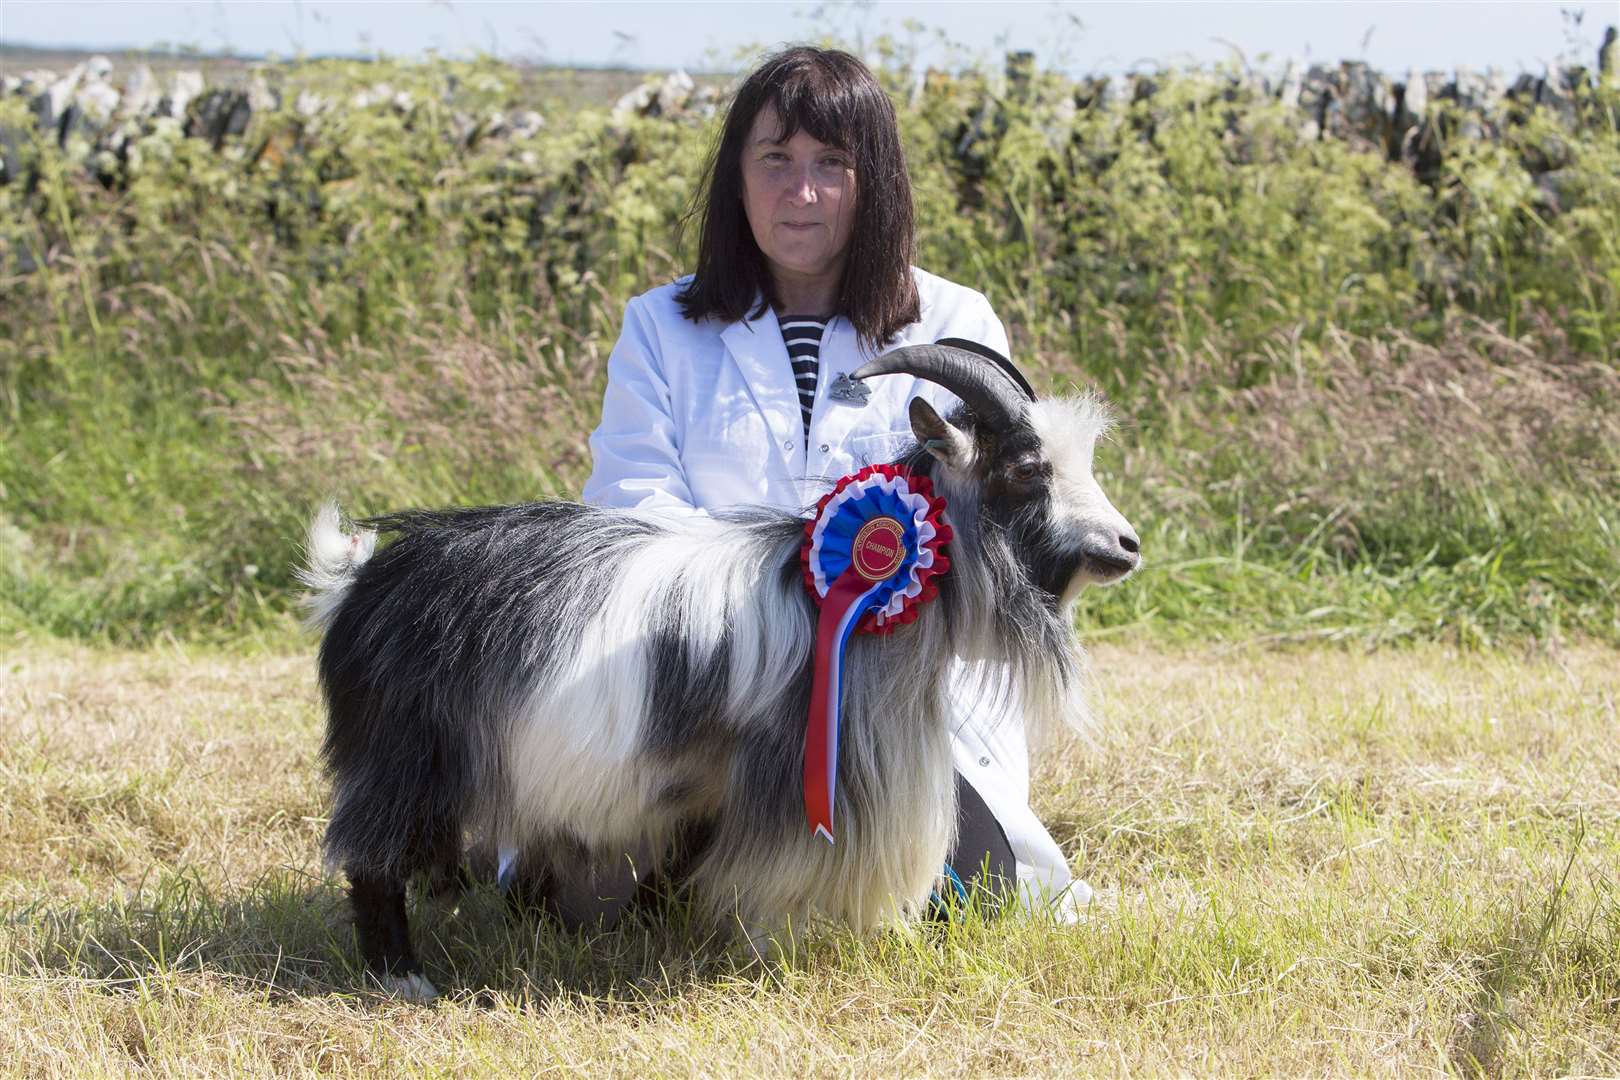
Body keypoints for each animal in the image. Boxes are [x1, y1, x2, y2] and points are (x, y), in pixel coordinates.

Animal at [304, 341, 1140, 1003]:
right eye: (1027, 468)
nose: (1127, 545)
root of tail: (357, 582)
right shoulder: (795, 782)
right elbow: (781, 871)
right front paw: (778, 953)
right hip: (404, 752)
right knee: (371, 858)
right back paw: (403, 976)